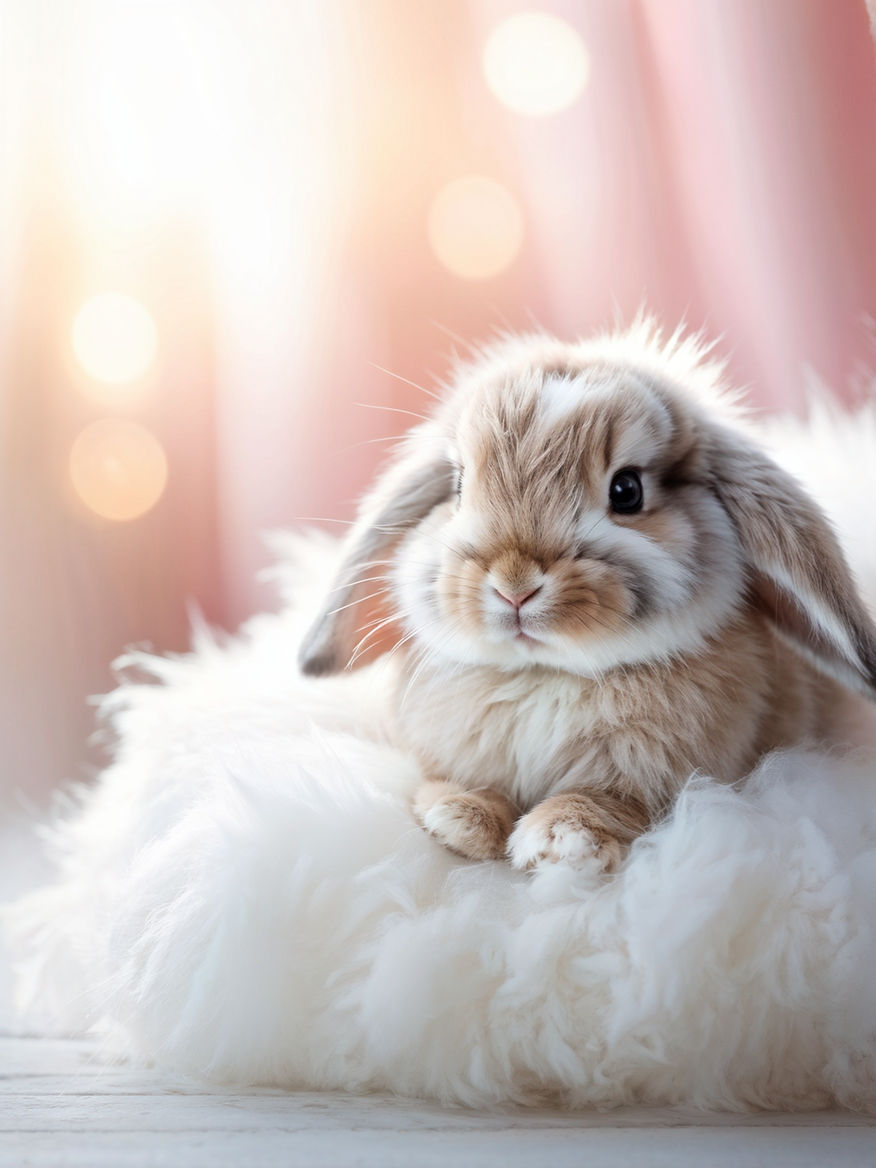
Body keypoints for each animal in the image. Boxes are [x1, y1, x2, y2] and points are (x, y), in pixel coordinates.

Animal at [298, 321, 876, 872]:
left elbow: (607, 802)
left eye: (627, 490)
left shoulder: (654, 781)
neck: (545, 675)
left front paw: (562, 840)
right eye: (459, 486)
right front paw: (459, 819)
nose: (514, 585)